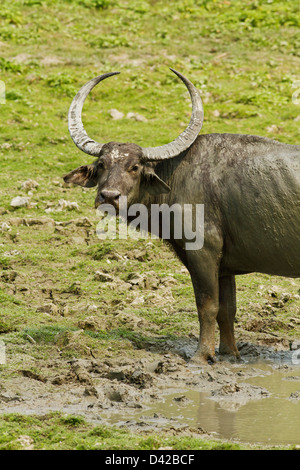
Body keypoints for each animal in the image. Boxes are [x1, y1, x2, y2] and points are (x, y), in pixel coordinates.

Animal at [63, 70, 300, 364]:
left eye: (135, 167)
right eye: (102, 165)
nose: (108, 196)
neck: (176, 176)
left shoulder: (203, 254)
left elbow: (207, 306)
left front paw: (201, 355)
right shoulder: (224, 266)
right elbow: (227, 309)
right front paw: (229, 354)